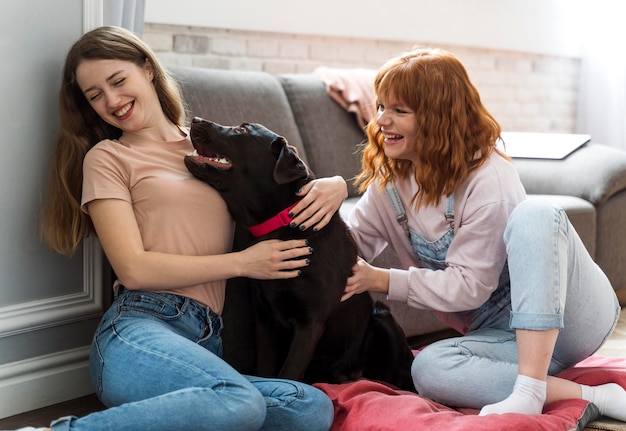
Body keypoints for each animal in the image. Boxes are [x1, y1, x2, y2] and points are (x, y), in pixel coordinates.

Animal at [182, 118, 414, 392]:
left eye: (242, 130)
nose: (195, 120)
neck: (281, 228)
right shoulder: (265, 318)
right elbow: (267, 369)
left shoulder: (311, 322)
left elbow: (290, 371)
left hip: (382, 318)